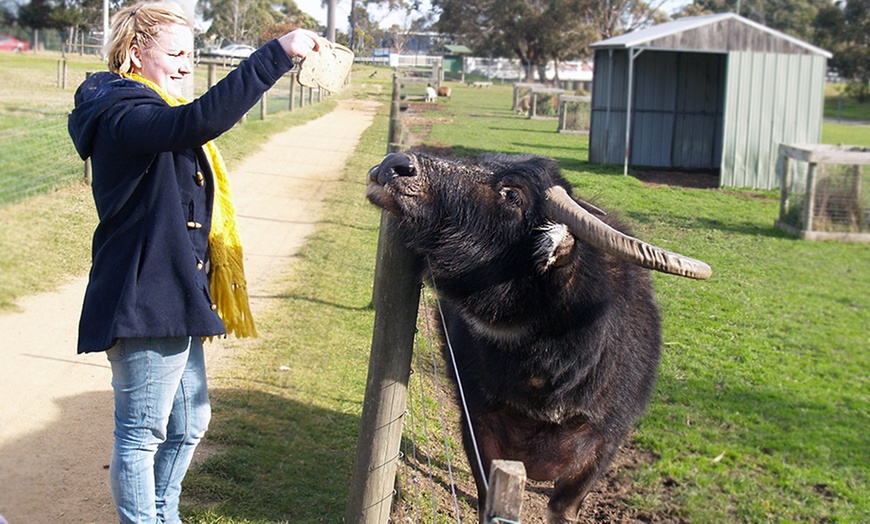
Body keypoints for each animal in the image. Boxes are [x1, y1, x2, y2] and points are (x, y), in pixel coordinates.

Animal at [364, 149, 712, 520]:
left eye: (512, 194)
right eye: (482, 161)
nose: (395, 165)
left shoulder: (605, 443)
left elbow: (564, 508)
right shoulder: (477, 423)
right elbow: (486, 495)